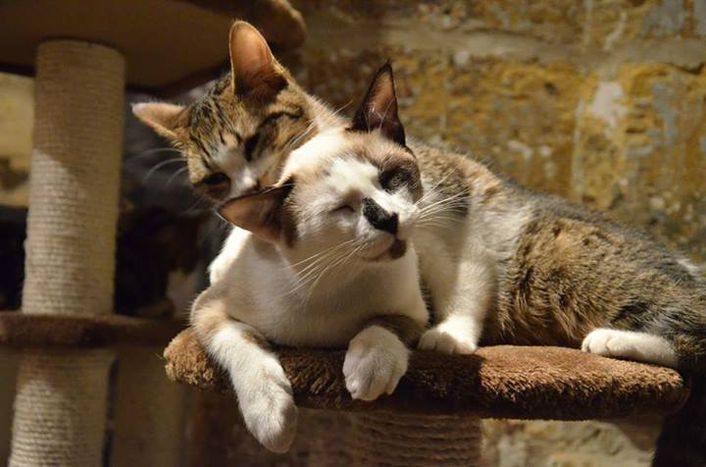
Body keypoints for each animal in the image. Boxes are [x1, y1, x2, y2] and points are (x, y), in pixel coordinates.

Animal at [190, 86, 426, 452]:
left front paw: (370, 367)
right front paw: (272, 417)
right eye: (341, 209)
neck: (337, 276)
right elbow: (242, 340)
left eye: (390, 179)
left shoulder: (414, 313)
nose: (388, 219)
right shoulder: (207, 307)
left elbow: (385, 324)